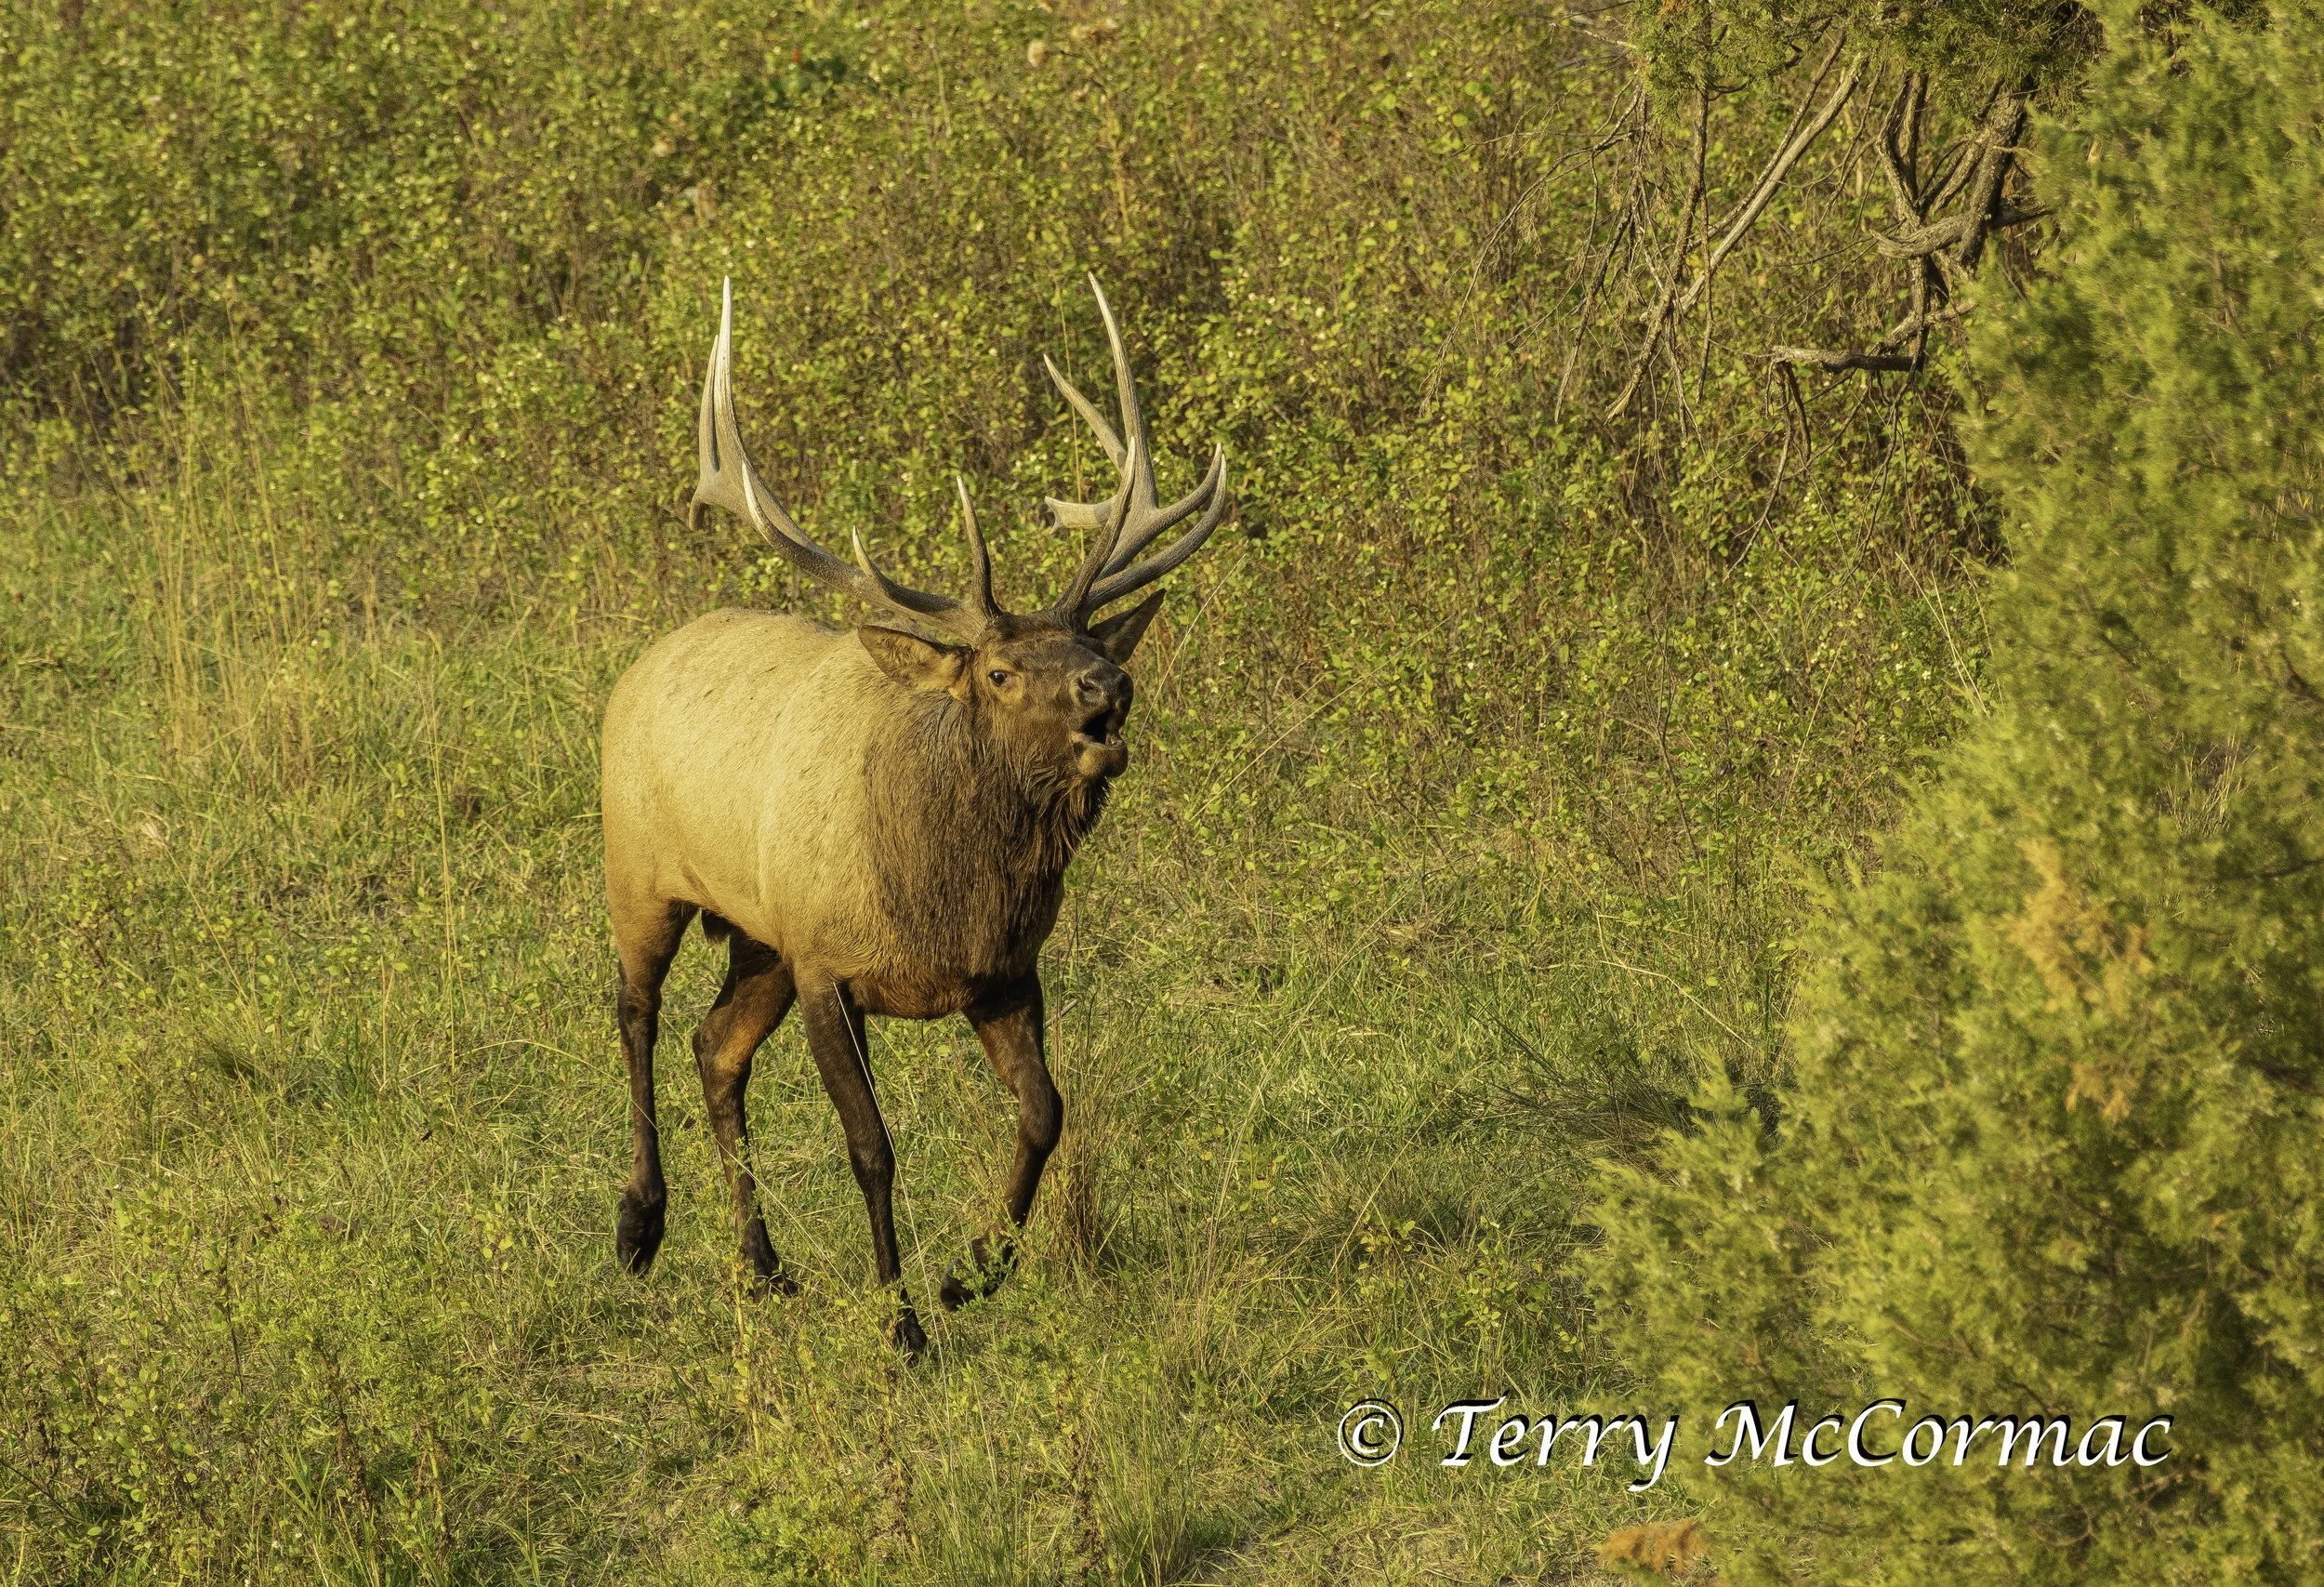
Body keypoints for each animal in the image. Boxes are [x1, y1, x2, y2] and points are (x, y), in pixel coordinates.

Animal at [599, 277, 1229, 1354]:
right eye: (1002, 670)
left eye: (1088, 644)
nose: (1110, 689)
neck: (943, 893)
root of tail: (642, 662)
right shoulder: (828, 964)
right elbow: (872, 1147)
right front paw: (901, 1326)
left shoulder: (1003, 969)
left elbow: (1046, 1113)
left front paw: (971, 1275)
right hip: (640, 873)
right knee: (637, 1014)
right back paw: (640, 1223)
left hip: (758, 936)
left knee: (714, 1047)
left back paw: (761, 1265)